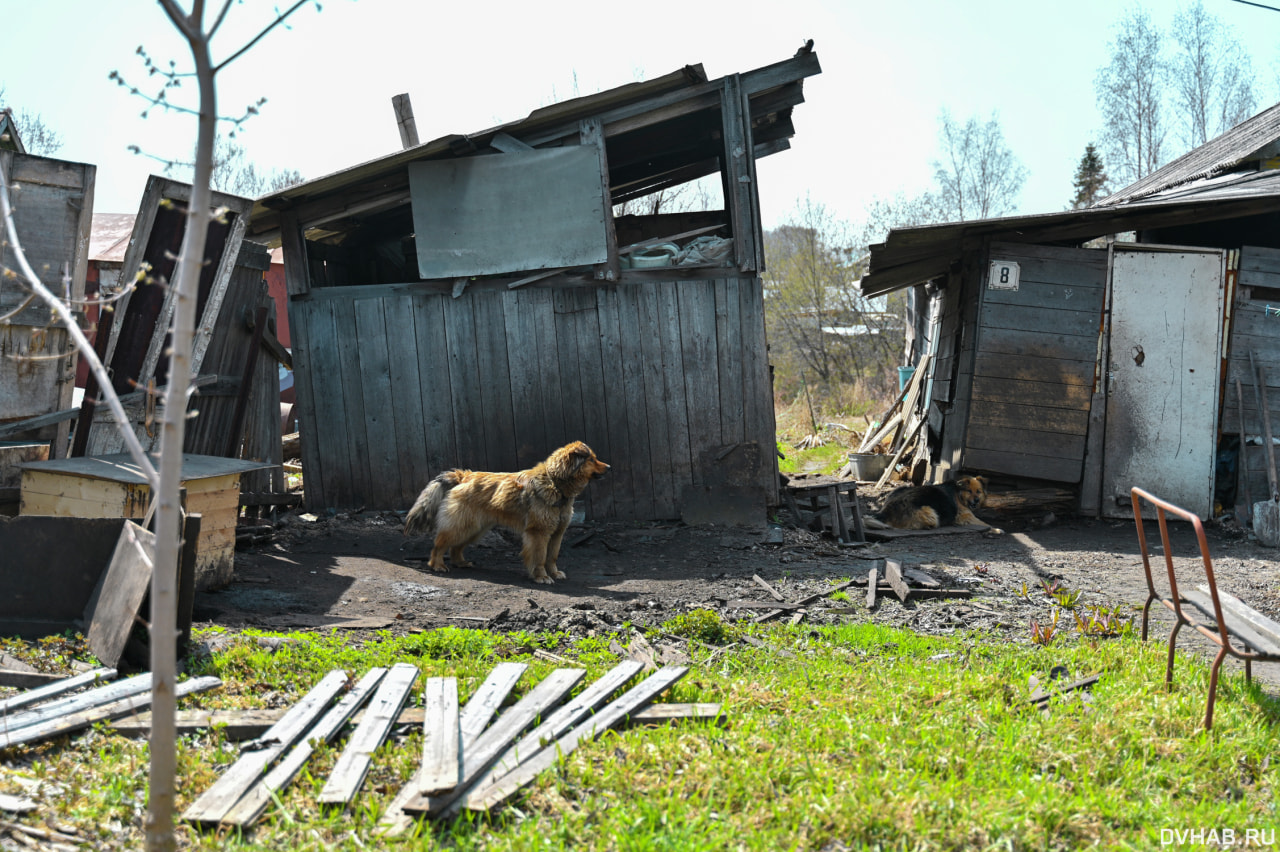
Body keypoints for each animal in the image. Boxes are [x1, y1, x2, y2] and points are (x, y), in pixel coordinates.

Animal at [407, 437, 611, 583]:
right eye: (592, 459)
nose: (609, 467)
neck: (555, 483)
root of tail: (464, 475)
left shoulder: (557, 532)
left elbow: (552, 556)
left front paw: (554, 573)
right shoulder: (538, 532)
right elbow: (540, 557)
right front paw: (541, 576)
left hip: (475, 528)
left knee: (456, 547)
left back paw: (461, 562)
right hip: (462, 525)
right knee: (439, 544)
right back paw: (437, 565)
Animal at [865, 473, 993, 527]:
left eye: (978, 491)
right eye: (969, 491)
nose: (976, 500)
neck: (959, 493)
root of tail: (886, 510)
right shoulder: (965, 516)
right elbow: (986, 524)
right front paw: (995, 529)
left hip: (900, 488)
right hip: (931, 513)